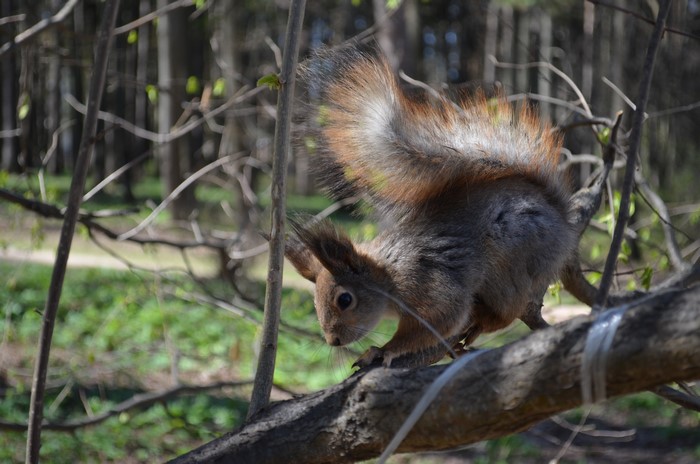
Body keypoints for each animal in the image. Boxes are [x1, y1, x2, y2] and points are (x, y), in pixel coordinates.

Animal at [285, 43, 578, 369]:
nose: (332, 340)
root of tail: (561, 219)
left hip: (512, 260)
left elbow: (441, 319)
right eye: (314, 301)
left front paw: (384, 350)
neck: (388, 274)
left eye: (344, 299)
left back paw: (481, 322)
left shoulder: (428, 284)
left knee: (507, 311)